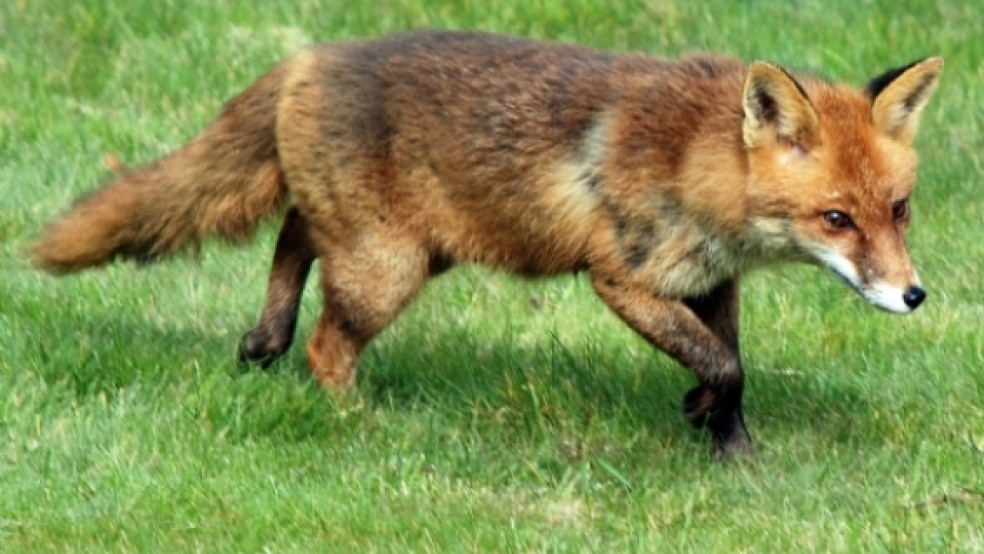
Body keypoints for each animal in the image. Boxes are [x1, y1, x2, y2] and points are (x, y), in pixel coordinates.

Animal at [28, 30, 944, 454]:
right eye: (836, 219)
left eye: (899, 209)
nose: (913, 295)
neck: (696, 161)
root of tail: (311, 55)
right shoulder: (621, 278)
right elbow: (723, 363)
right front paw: (703, 414)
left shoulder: (712, 282)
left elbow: (732, 365)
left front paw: (732, 451)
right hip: (388, 267)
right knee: (327, 339)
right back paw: (359, 420)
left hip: (394, 247)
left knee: (293, 237)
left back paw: (264, 337)